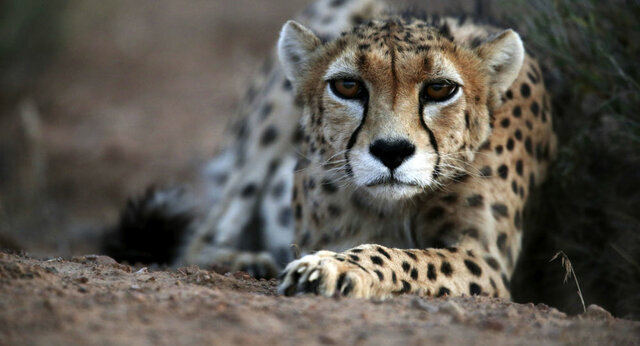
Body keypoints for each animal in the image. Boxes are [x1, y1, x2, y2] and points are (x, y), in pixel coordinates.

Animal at [109, 0, 556, 298]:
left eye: (439, 89)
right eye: (348, 86)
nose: (391, 151)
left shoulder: (486, 259)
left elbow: (407, 257)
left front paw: (331, 268)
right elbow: (392, 252)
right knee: (200, 238)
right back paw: (245, 260)